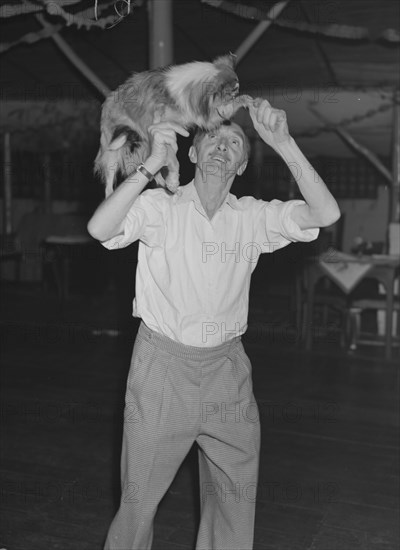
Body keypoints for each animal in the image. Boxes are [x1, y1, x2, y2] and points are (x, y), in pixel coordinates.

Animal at [94, 54, 250, 196]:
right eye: (230, 95)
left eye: (234, 95)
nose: (235, 98)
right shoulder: (163, 128)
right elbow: (174, 160)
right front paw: (174, 180)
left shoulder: (203, 117)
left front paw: (246, 100)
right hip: (112, 150)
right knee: (109, 182)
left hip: (145, 146)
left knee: (154, 170)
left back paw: (164, 184)